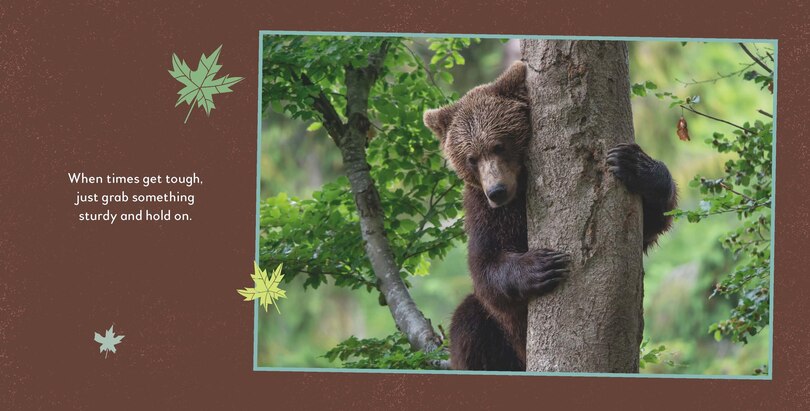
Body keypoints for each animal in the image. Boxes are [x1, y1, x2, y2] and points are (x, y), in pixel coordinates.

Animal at [423, 61, 678, 371]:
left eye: (499, 145)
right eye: (471, 158)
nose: (497, 191)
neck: (520, 190)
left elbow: (650, 225)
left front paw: (634, 164)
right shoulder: (484, 212)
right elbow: (485, 264)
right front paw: (542, 265)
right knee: (469, 323)